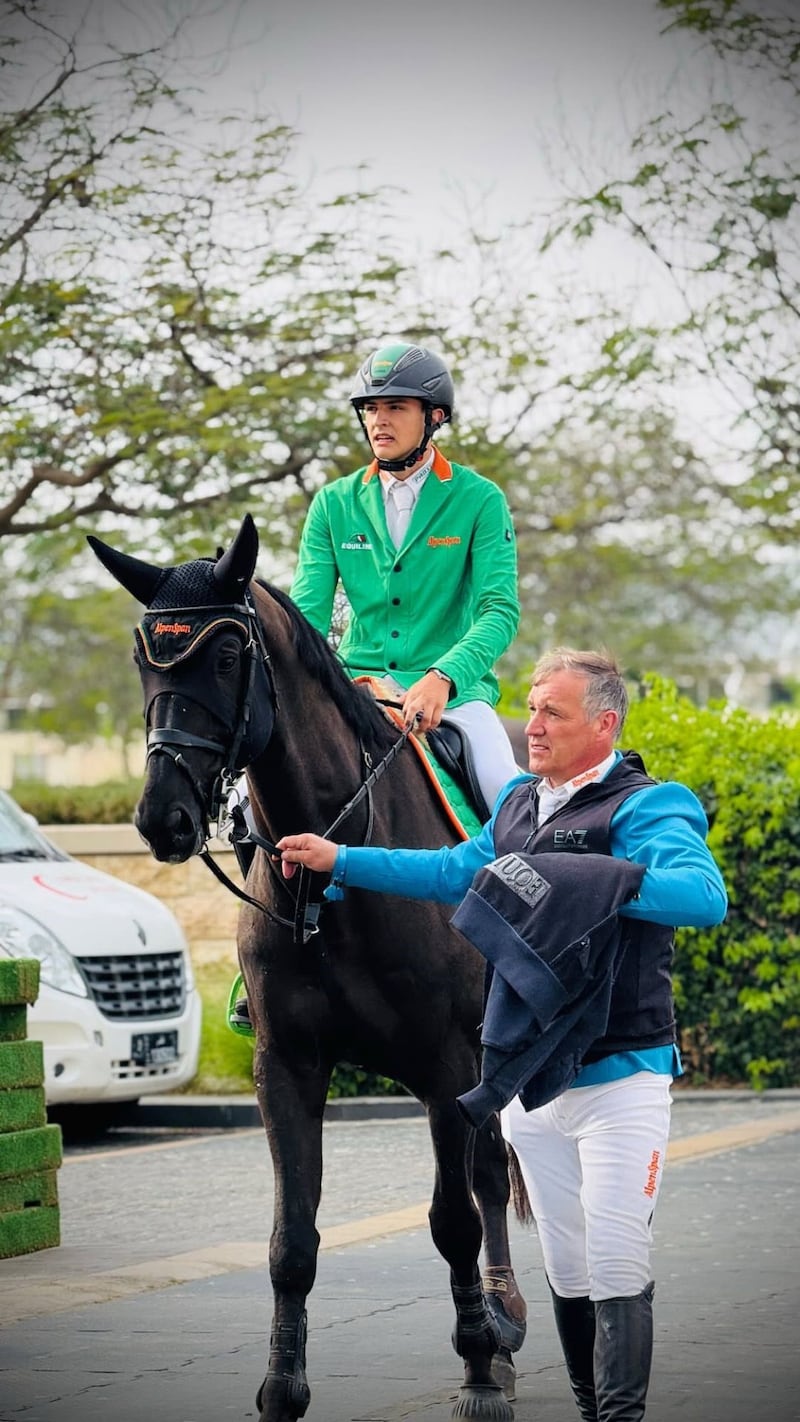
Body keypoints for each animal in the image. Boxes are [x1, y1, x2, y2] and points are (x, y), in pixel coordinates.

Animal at [89, 514, 525, 1422]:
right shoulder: (285, 1064)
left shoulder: (446, 1067)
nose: (161, 816)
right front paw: (282, 1388)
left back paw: (500, 1332)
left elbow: (454, 1221)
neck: (335, 864)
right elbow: (292, 1240)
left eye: (226, 656)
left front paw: (477, 1363)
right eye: (145, 658)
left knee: (489, 1184)